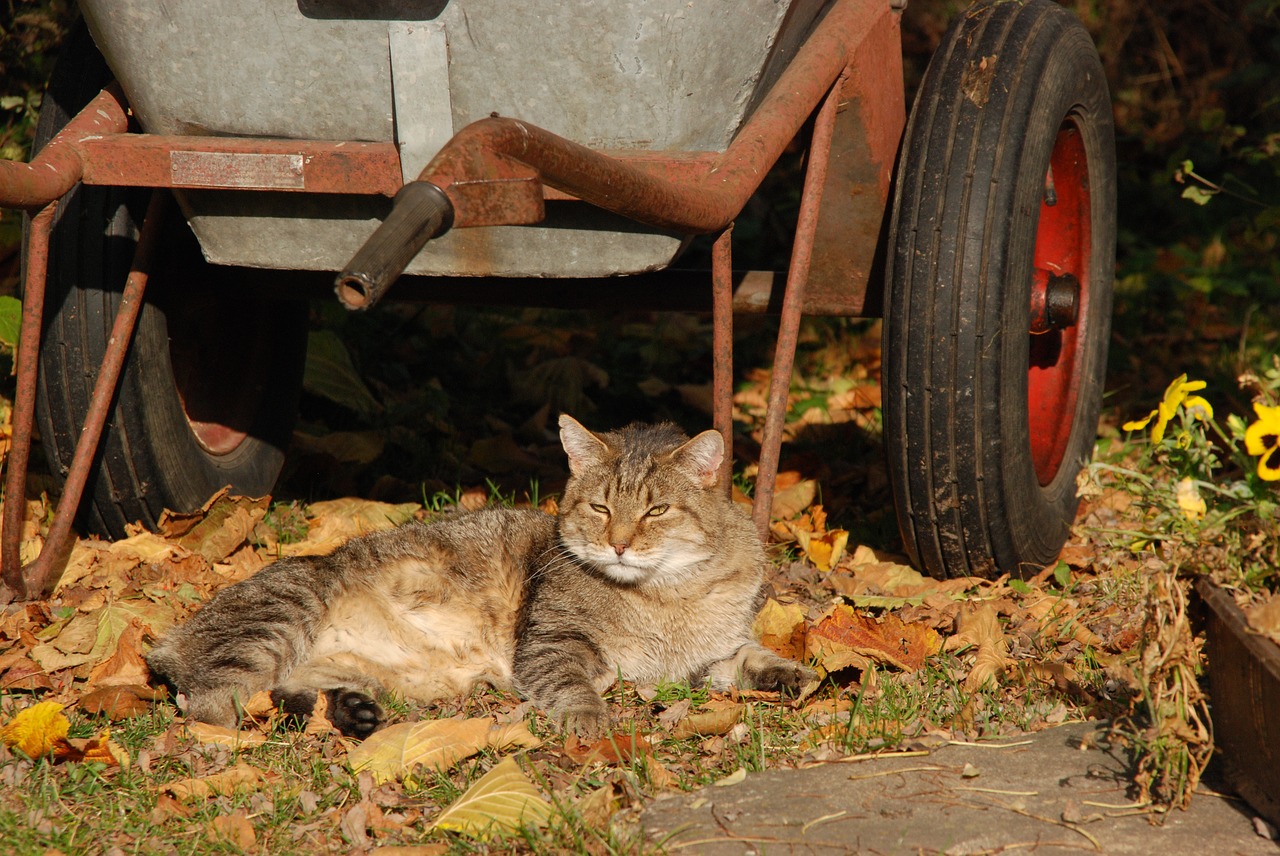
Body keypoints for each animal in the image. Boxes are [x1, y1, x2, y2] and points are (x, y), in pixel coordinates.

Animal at [145, 414, 814, 737]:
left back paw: (348, 712)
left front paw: (794, 673)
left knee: (282, 696)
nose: (620, 544)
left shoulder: (706, 658)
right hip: (281, 615)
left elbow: (751, 657)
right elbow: (576, 685)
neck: (670, 594)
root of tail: (168, 637)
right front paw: (591, 720)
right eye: (601, 508)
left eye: (655, 510)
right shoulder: (551, 645)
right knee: (209, 703)